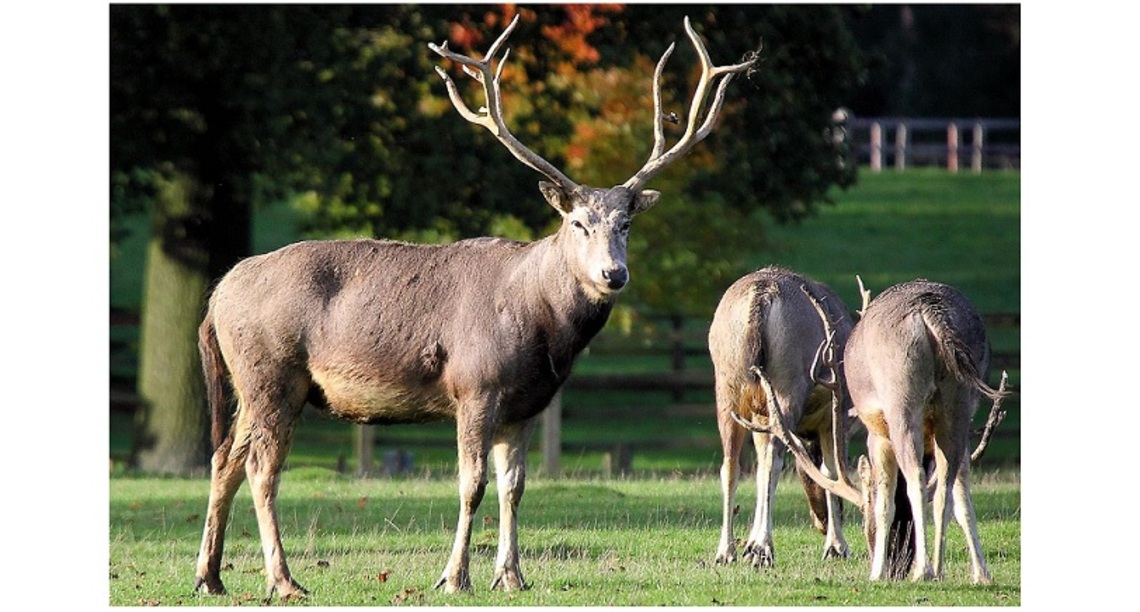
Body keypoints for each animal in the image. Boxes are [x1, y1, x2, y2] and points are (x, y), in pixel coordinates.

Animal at [191, 15, 757, 599]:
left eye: (626, 223)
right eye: (578, 223)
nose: (613, 274)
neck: (542, 331)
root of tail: (217, 295)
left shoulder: (528, 404)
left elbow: (515, 485)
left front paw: (511, 575)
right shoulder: (475, 386)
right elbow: (472, 484)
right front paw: (453, 576)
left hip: (250, 384)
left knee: (224, 456)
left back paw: (210, 577)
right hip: (272, 373)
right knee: (261, 468)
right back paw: (284, 581)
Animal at [709, 266, 856, 568]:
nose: (820, 524)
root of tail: (762, 295)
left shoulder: (760, 417)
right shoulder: (835, 416)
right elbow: (832, 470)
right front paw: (837, 546)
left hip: (727, 387)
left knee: (730, 465)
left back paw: (726, 551)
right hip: (788, 381)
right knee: (773, 459)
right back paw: (763, 548)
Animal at [732, 278, 1009, 584]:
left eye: (866, 521)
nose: (897, 568)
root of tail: (930, 314)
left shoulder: (876, 434)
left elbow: (885, 501)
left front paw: (876, 572)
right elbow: (961, 497)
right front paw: (981, 574)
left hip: (899, 401)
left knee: (915, 478)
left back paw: (923, 571)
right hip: (958, 404)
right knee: (944, 489)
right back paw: (937, 569)